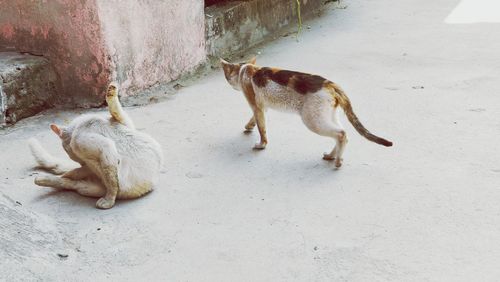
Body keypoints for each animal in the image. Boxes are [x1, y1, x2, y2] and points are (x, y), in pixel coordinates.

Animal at [29, 82, 164, 208]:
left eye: (67, 151)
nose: (80, 162)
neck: (83, 125)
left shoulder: (89, 144)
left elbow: (111, 181)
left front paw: (109, 200)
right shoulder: (124, 123)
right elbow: (116, 110)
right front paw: (111, 92)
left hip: (90, 184)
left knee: (76, 180)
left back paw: (46, 179)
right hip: (87, 185)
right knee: (70, 180)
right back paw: (47, 179)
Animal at [221, 57, 392, 167]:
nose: (231, 86)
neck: (245, 69)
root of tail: (331, 84)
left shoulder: (256, 106)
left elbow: (262, 128)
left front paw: (261, 144)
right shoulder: (263, 107)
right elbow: (254, 120)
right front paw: (249, 126)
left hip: (312, 120)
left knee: (341, 134)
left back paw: (337, 161)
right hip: (327, 116)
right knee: (341, 134)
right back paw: (331, 156)